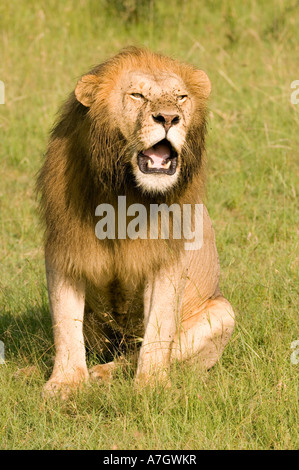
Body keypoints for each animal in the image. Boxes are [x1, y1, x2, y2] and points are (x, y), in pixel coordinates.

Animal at [36, 46, 236, 396]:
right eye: (137, 95)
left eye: (181, 97)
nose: (169, 118)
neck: (126, 194)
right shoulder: (65, 249)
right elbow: (65, 325)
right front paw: (64, 384)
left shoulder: (165, 259)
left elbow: (158, 329)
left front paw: (152, 386)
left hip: (223, 313)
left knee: (142, 352)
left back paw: (104, 373)